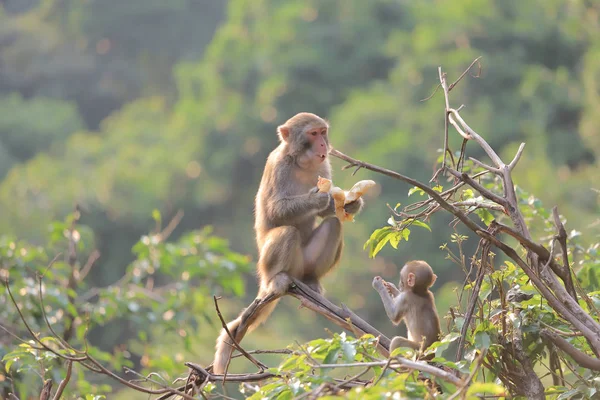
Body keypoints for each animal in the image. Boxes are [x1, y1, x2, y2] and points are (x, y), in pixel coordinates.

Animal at [211, 111, 372, 374]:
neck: (301, 162)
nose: (323, 145)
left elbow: (329, 215)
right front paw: (319, 198)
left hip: (305, 263)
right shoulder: (279, 166)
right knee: (287, 232)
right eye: (313, 134)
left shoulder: (323, 165)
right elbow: (275, 210)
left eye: (323, 132)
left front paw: (350, 204)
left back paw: (312, 280)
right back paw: (278, 279)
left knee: (333, 226)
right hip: (273, 266)